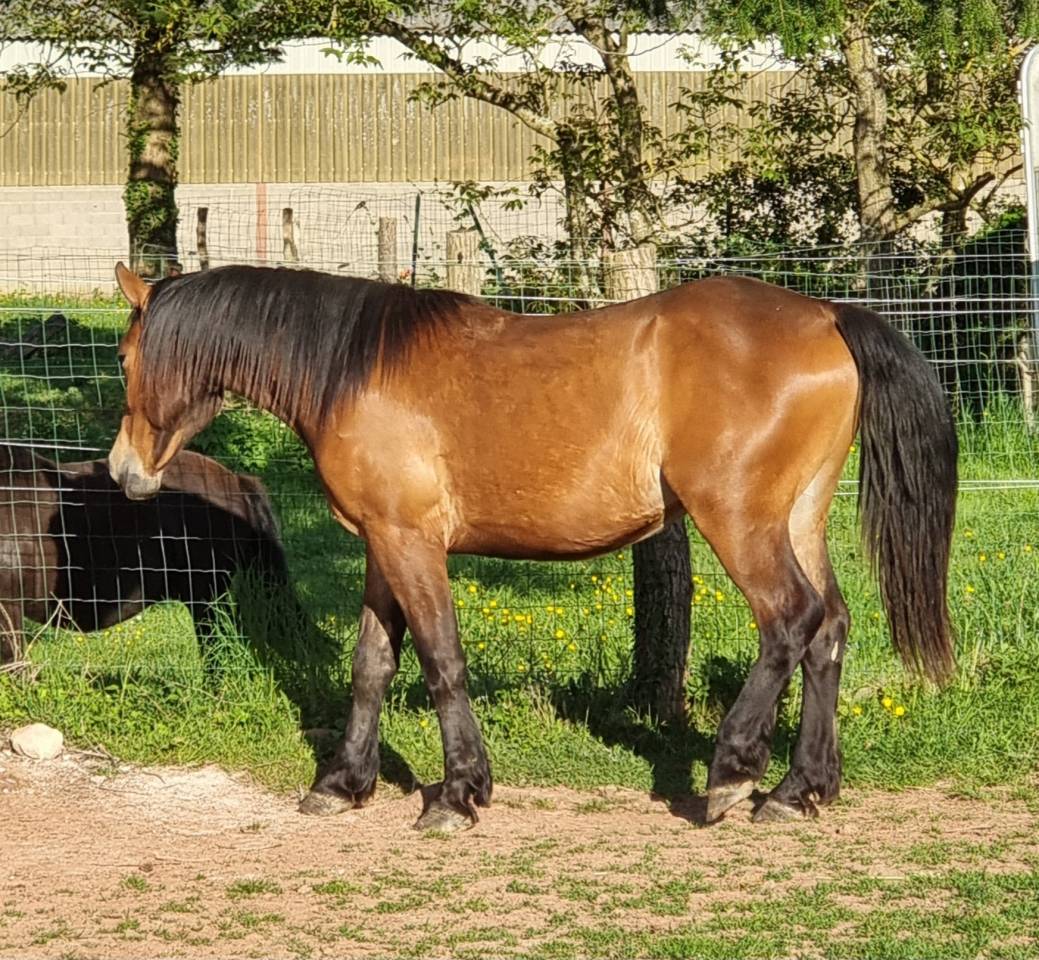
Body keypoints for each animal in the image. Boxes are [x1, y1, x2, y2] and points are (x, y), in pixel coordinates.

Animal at [108, 262, 957, 832]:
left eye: (122, 357)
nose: (122, 471)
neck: (356, 369)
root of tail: (825, 315)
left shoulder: (412, 545)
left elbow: (441, 661)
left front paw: (458, 795)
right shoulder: (383, 546)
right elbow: (371, 664)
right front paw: (343, 783)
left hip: (739, 521)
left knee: (789, 621)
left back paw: (732, 772)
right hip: (799, 519)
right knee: (829, 630)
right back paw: (798, 789)